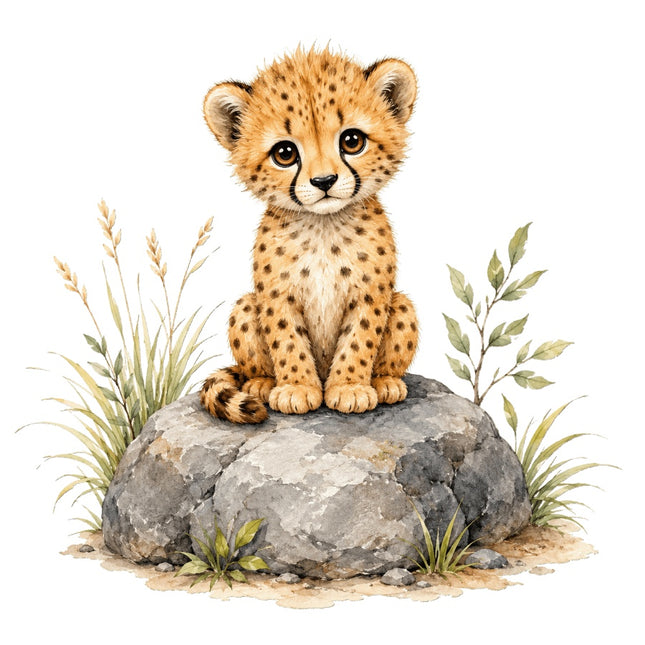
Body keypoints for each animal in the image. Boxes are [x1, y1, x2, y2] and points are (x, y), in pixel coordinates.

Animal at [200, 46, 419, 423]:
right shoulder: (277, 296)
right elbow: (287, 340)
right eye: (285, 153)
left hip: (402, 304)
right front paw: (297, 387)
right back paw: (261, 382)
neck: (323, 225)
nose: (324, 181)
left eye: (352, 141)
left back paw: (386, 382)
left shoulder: (370, 294)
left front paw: (349, 386)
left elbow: (360, 339)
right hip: (246, 306)